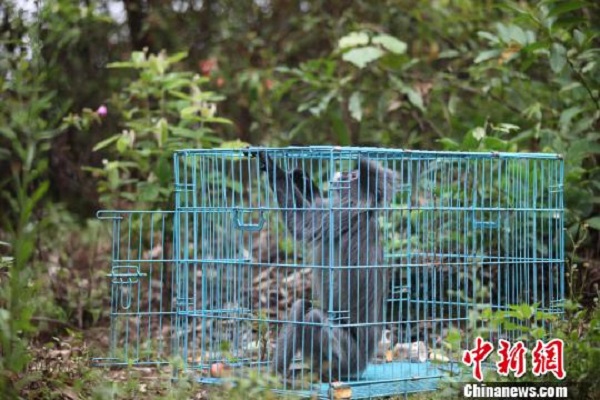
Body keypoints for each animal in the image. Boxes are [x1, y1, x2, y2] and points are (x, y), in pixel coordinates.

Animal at [253, 151, 398, 382]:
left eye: (354, 176)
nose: (344, 173)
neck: (364, 211)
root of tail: (364, 362)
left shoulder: (339, 212)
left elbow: (301, 223)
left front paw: (273, 168)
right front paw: (303, 179)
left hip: (347, 357)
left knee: (311, 317)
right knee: (301, 306)